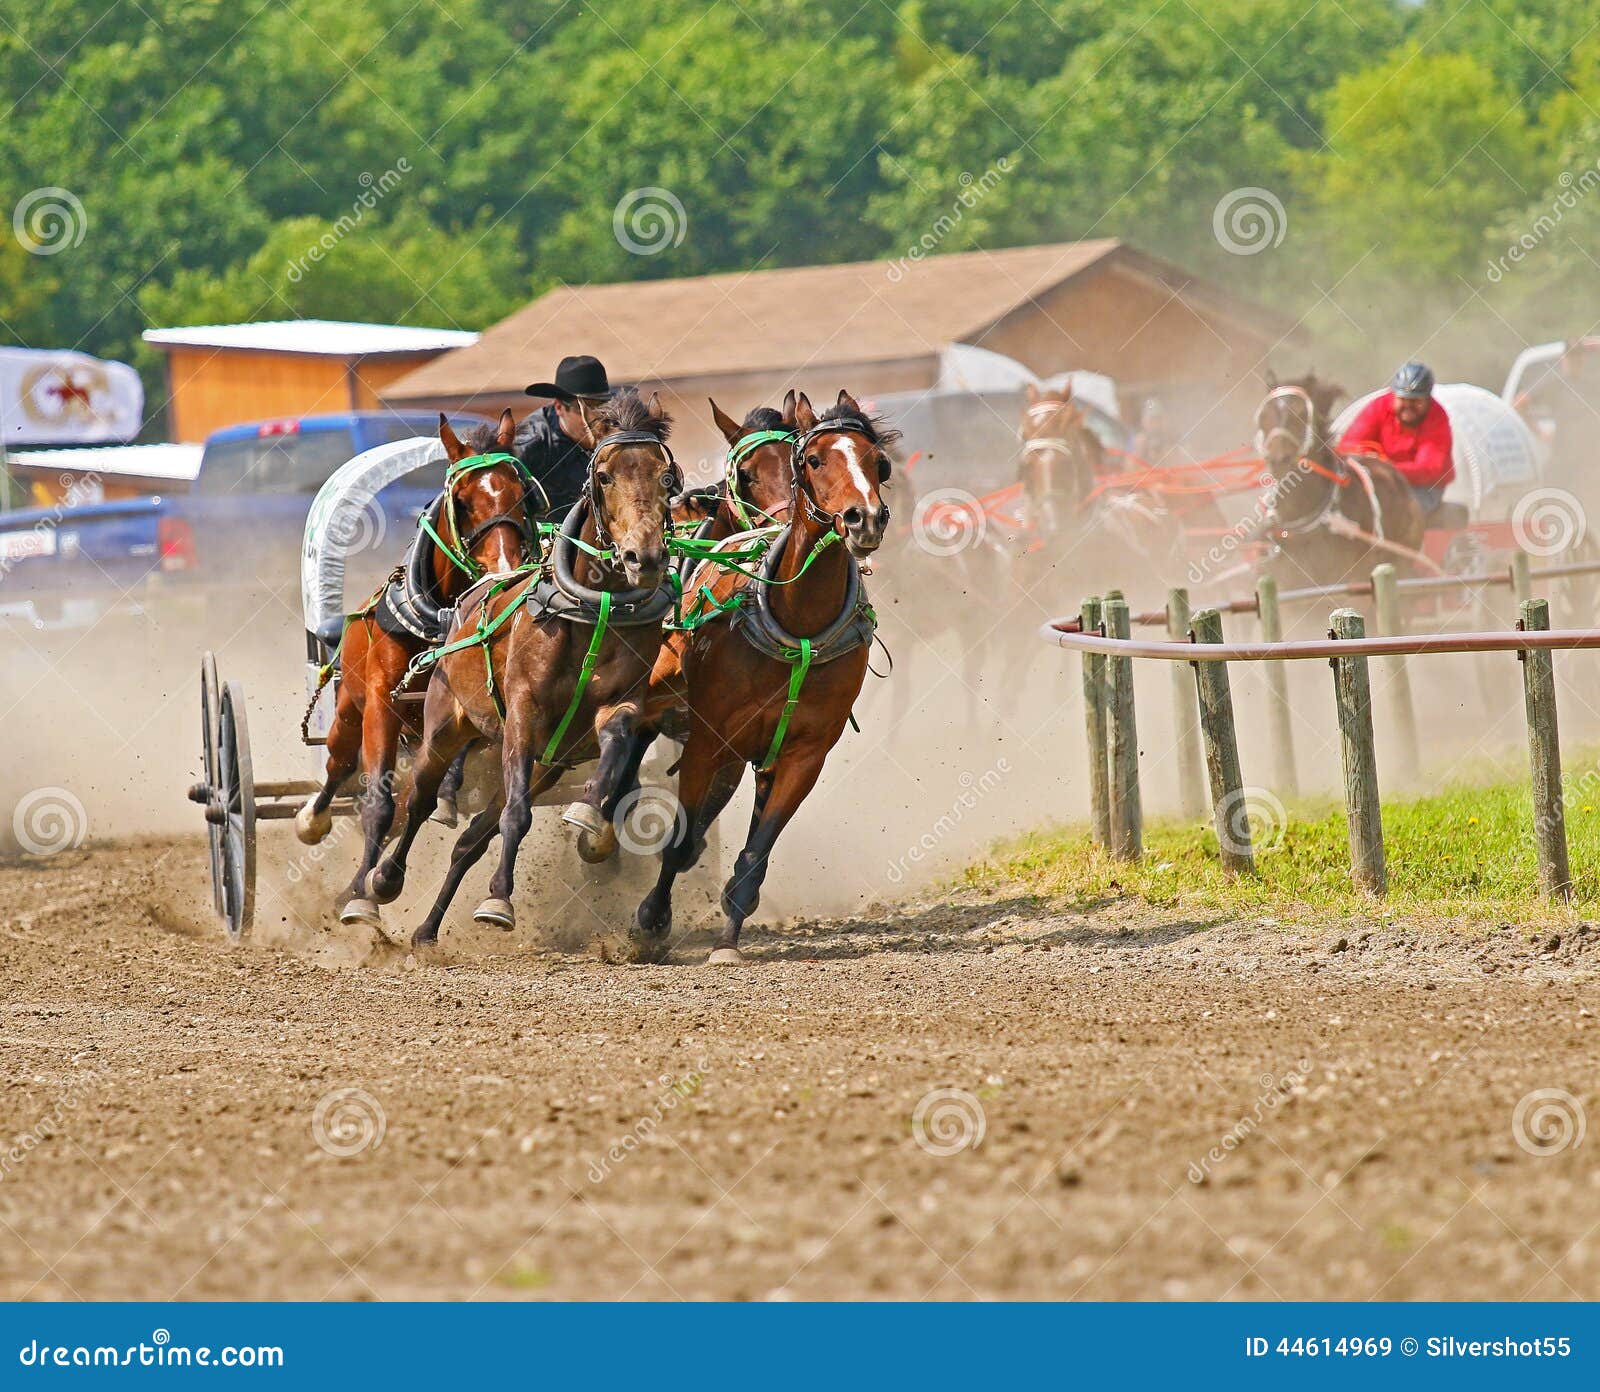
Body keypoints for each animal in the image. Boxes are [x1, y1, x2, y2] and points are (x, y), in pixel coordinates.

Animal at [299, 419, 544, 934]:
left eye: (523, 496)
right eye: (463, 500)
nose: (505, 569)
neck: (439, 620)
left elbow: (415, 797)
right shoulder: (381, 705)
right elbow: (378, 802)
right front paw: (365, 901)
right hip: (348, 711)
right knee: (338, 767)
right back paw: (313, 823)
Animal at [368, 387, 681, 940]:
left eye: (665, 477)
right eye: (604, 477)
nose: (643, 558)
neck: (594, 607)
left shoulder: (616, 708)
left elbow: (616, 745)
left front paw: (589, 816)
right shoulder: (522, 713)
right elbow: (516, 815)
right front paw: (497, 901)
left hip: (542, 766)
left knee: (471, 838)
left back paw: (427, 929)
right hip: (445, 727)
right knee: (419, 800)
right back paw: (382, 881)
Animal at [624, 387, 896, 966]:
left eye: (879, 463)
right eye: (812, 461)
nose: (864, 519)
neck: (796, 626)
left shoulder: (802, 756)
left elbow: (755, 853)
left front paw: (729, 938)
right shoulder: (707, 741)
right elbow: (679, 840)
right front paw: (650, 922)